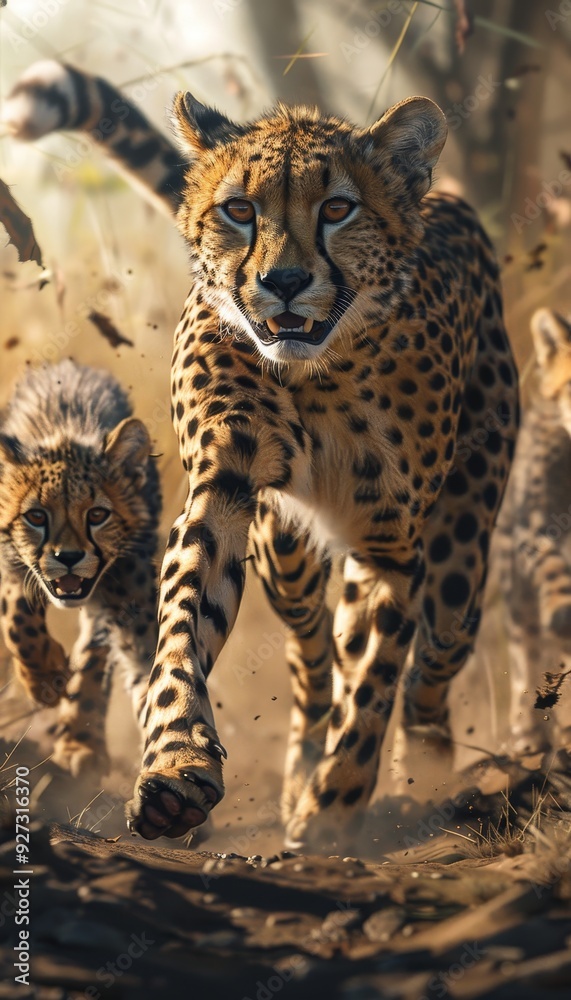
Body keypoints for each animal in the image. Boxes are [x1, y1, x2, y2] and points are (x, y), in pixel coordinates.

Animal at [0, 359, 161, 779]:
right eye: (37, 516)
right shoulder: (11, 563)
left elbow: (98, 660)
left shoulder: (125, 602)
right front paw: (44, 678)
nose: (68, 557)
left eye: (98, 515)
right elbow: (17, 617)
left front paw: (81, 744)